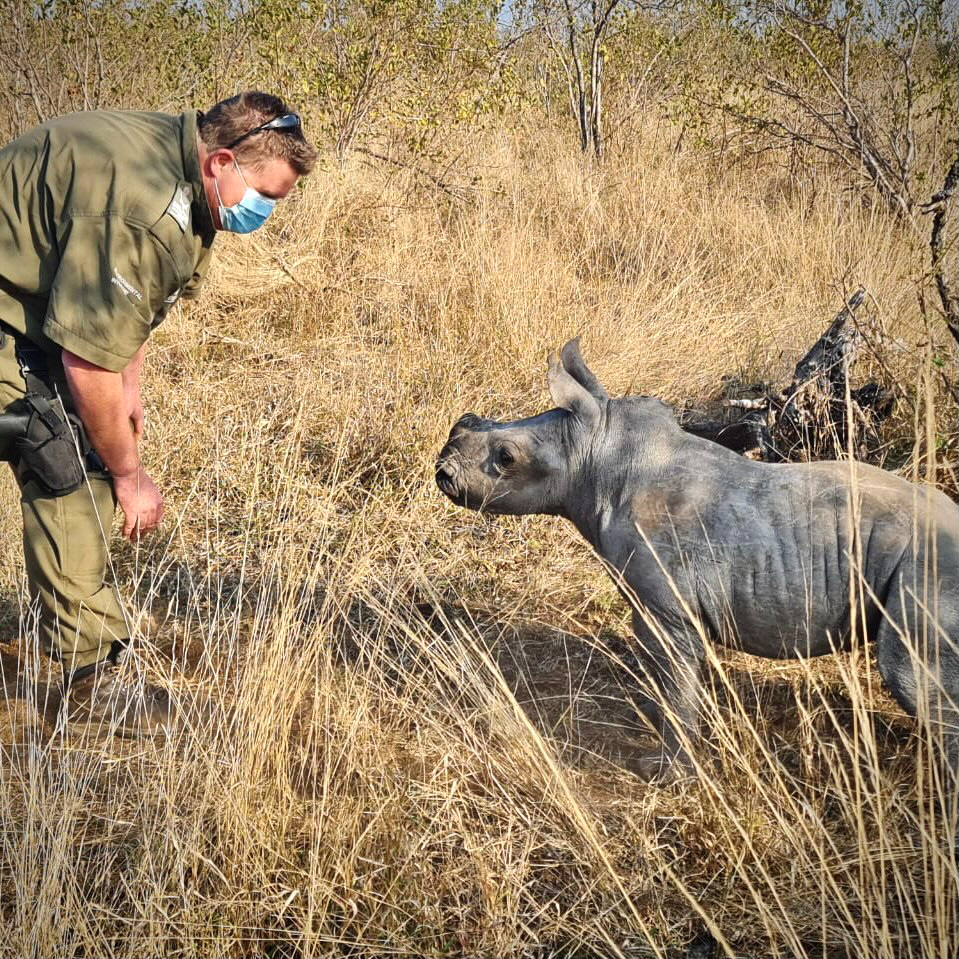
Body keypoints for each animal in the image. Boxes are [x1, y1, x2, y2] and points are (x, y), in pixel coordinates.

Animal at [435, 339, 959, 782]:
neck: (597, 453)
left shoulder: (672, 610)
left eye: (506, 458)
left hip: (930, 566)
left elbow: (678, 687)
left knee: (912, 676)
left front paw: (669, 773)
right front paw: (652, 721)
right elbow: (663, 679)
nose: (441, 471)